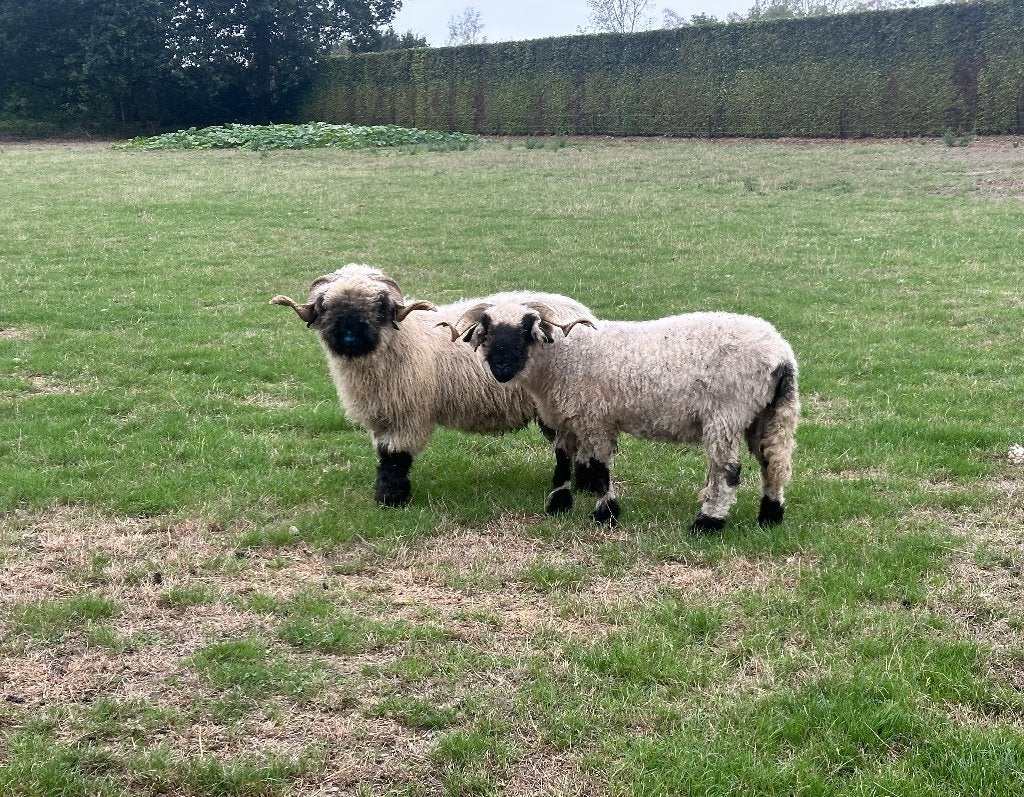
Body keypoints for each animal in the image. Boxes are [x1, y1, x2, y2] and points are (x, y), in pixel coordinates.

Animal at [270, 265, 596, 507]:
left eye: (379, 306)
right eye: (325, 306)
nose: (349, 333)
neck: (401, 340)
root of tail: (583, 313)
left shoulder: (408, 415)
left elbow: (395, 458)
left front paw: (391, 500)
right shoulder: (383, 417)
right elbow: (384, 455)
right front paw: (386, 496)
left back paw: (588, 487)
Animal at [445, 300, 800, 532]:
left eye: (525, 329)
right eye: (488, 331)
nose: (501, 367)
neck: (563, 358)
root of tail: (781, 355)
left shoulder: (594, 417)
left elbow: (599, 467)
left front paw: (606, 514)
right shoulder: (566, 417)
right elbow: (563, 461)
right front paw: (558, 505)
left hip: (727, 412)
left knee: (728, 469)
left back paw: (708, 522)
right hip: (770, 413)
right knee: (773, 463)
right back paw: (770, 517)